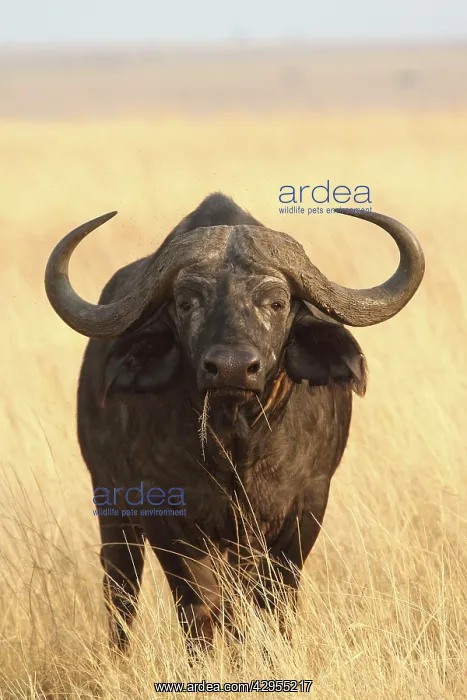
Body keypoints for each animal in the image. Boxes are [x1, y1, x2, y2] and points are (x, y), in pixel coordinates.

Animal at [44, 193, 425, 654]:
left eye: (276, 303)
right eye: (186, 303)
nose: (231, 368)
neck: (235, 443)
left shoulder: (305, 506)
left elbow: (272, 601)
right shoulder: (166, 511)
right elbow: (200, 606)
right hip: (112, 505)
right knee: (121, 590)